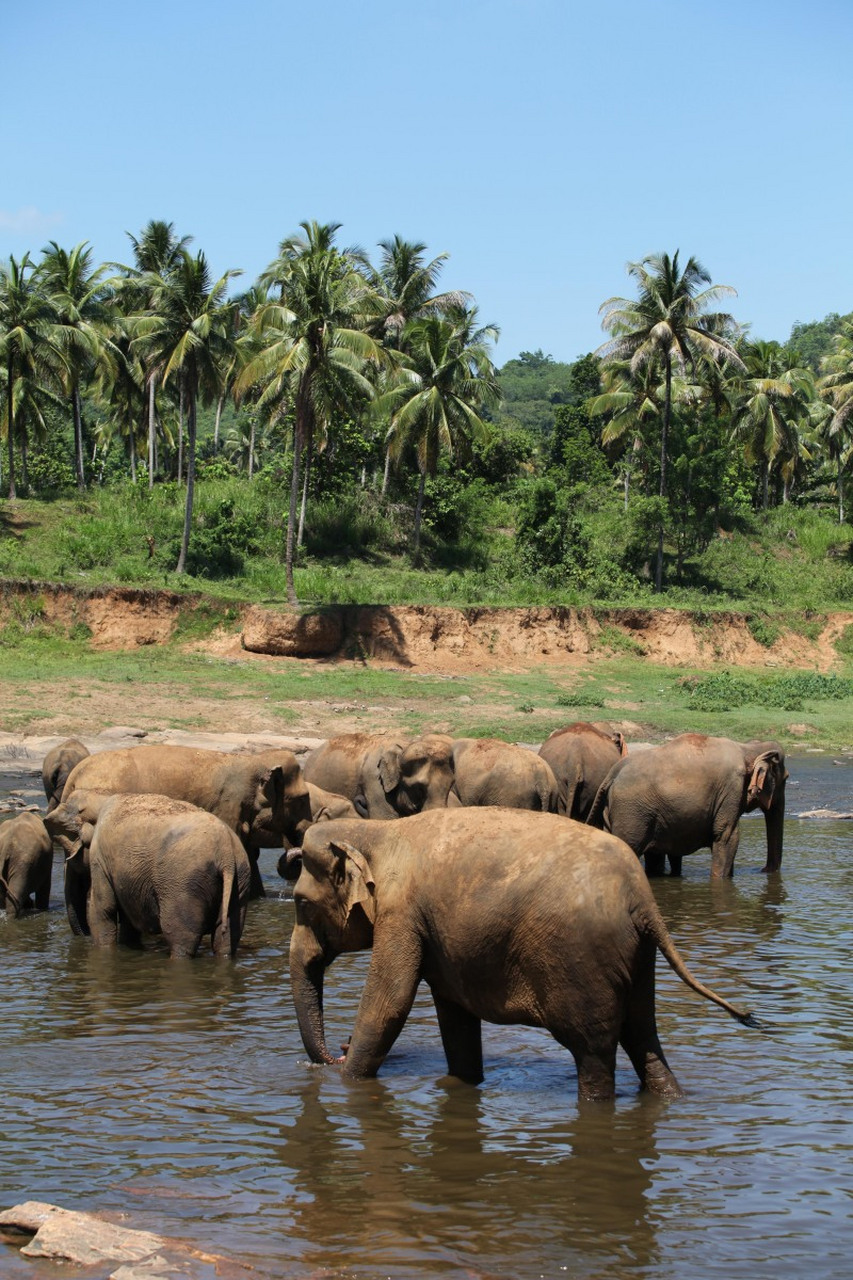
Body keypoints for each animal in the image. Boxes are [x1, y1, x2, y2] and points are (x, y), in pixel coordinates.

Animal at [45, 783, 249, 957]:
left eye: (68, 849)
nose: (83, 937)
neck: (102, 795)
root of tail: (226, 852)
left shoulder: (100, 857)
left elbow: (103, 909)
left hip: (184, 884)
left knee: (181, 937)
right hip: (239, 880)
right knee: (226, 938)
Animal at [289, 808, 753, 1100]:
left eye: (300, 903)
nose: (335, 1053)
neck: (376, 830)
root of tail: (643, 899)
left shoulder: (402, 913)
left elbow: (390, 1002)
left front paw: (347, 1083)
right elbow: (454, 1014)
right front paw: (463, 1082)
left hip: (581, 961)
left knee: (594, 1053)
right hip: (638, 957)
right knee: (643, 1036)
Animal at [584, 732, 783, 880]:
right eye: (785, 778)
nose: (763, 870)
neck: (747, 748)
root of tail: (611, 775)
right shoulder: (730, 790)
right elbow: (727, 837)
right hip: (631, 811)